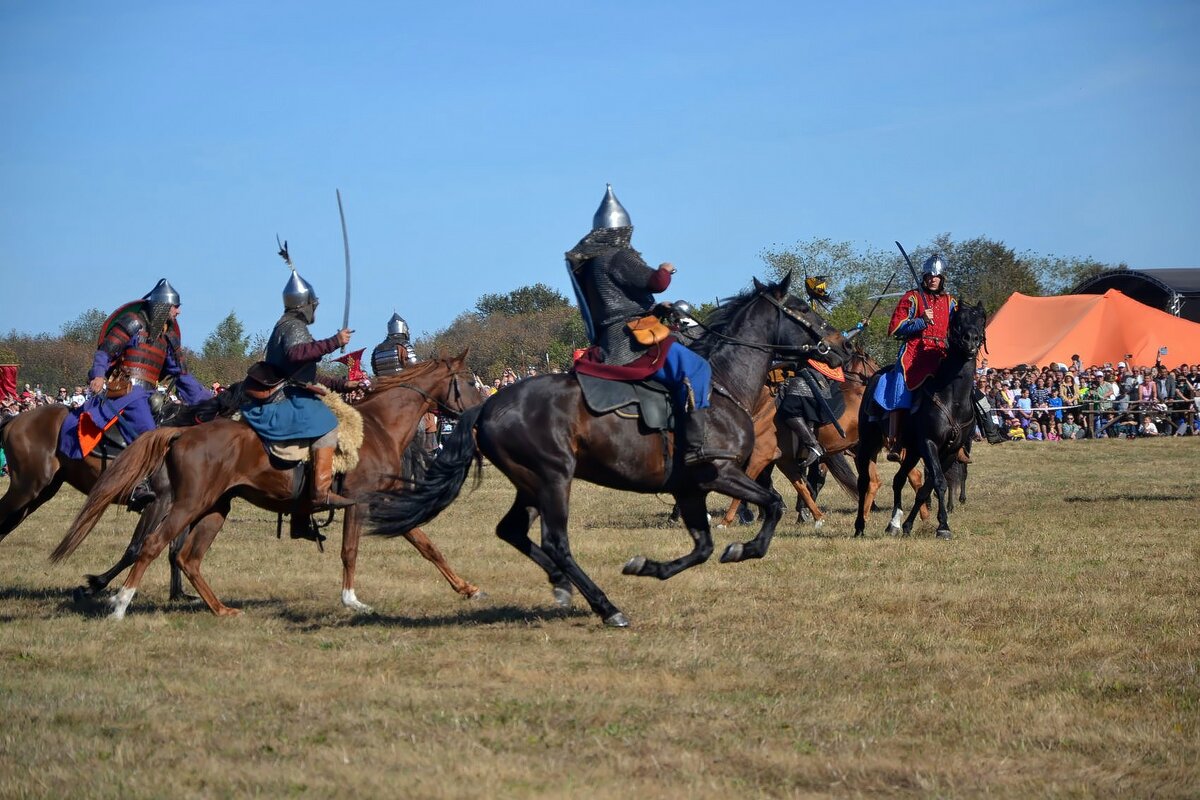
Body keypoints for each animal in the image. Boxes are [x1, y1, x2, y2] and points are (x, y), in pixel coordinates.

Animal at [51, 357, 482, 618]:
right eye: (467, 381)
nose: (481, 413)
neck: (376, 428)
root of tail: (180, 432)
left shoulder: (383, 502)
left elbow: (427, 545)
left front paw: (467, 588)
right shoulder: (358, 504)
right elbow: (350, 552)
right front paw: (352, 601)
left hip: (215, 508)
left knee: (187, 558)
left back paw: (220, 609)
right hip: (187, 504)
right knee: (154, 545)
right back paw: (120, 604)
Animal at [369, 273, 849, 623]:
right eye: (801, 309)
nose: (842, 346)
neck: (722, 384)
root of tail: (487, 406)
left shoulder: (690, 490)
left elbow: (703, 546)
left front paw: (650, 567)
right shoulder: (719, 473)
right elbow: (772, 505)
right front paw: (743, 549)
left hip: (530, 484)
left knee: (513, 531)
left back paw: (562, 584)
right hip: (553, 479)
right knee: (557, 541)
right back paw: (606, 606)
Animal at [849, 303, 988, 542]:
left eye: (981, 320)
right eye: (957, 320)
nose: (971, 340)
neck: (953, 399)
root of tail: (873, 377)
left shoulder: (950, 450)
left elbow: (928, 486)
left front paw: (910, 525)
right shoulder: (929, 443)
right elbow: (939, 481)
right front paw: (943, 526)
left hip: (912, 451)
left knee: (899, 479)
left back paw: (894, 524)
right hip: (869, 443)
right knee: (864, 481)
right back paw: (860, 526)